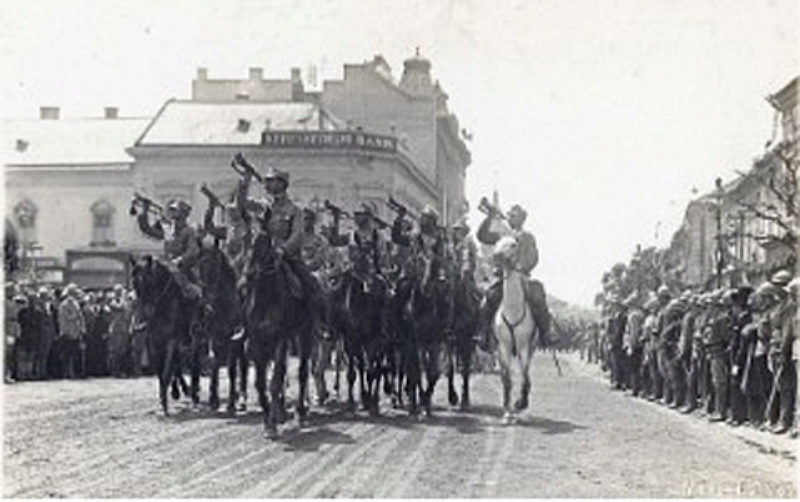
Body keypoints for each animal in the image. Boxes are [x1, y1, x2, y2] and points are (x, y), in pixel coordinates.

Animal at [130, 255, 196, 416]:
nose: (143, 317)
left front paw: (165, 403)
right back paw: (179, 390)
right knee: (177, 365)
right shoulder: (153, 342)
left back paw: (190, 391)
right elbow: (161, 372)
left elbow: (166, 371)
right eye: (134, 283)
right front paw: (163, 397)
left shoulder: (172, 340)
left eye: (149, 282)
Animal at [245, 228, 314, 440]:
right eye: (250, 242)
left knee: (301, 372)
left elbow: (274, 381)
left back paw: (300, 412)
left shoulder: (279, 340)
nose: (249, 274)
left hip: (304, 334)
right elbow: (261, 383)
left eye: (266, 245)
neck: (266, 298)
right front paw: (269, 418)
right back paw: (281, 412)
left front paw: (272, 425)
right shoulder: (257, 342)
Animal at [490, 236, 540, 424]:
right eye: (496, 243)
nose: (496, 256)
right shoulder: (503, 347)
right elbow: (507, 380)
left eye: (513, 245)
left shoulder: (524, 346)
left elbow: (525, 377)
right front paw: (507, 412)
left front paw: (521, 403)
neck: (512, 310)